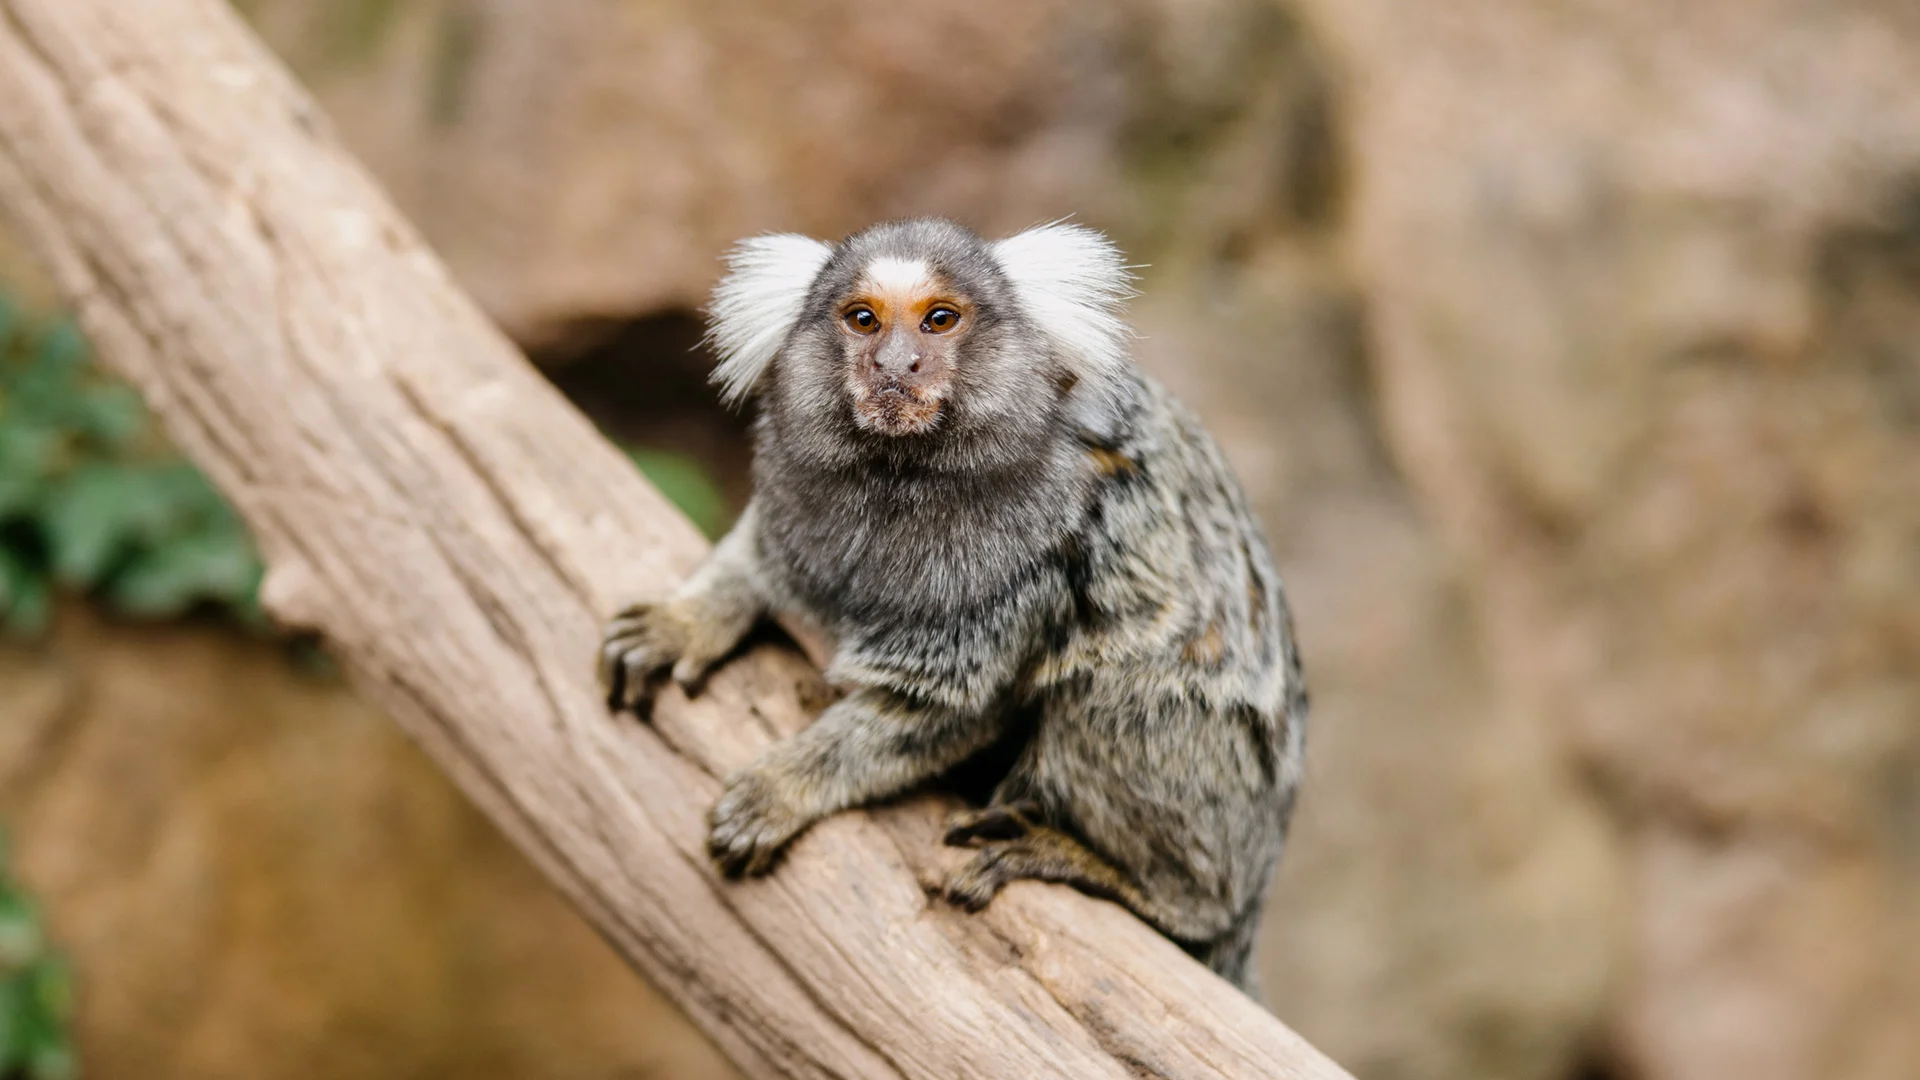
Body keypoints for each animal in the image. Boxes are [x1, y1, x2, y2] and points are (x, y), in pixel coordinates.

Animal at [598, 218, 1307, 996]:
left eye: (940, 320)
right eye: (863, 320)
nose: (896, 365)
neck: (902, 479)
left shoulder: (1031, 569)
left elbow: (939, 710)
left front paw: (780, 788)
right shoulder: (794, 506)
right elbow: (758, 558)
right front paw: (685, 625)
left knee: (1112, 700)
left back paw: (1117, 875)